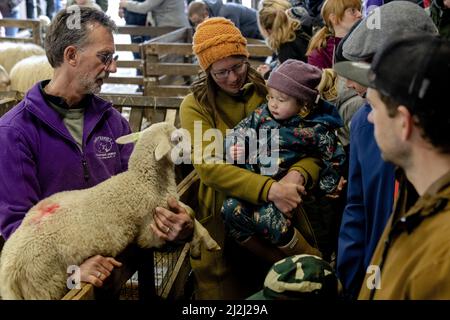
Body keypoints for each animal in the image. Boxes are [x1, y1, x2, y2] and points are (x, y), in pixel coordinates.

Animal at [0, 122, 220, 300]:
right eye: (178, 139)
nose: (194, 148)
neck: (143, 181)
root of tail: (8, 269)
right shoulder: (149, 230)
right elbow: (189, 213)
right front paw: (205, 244)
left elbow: (190, 213)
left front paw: (201, 243)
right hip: (43, 286)